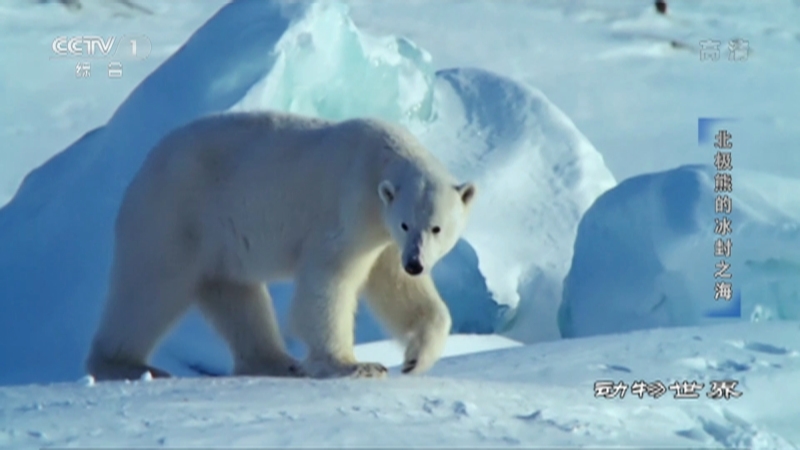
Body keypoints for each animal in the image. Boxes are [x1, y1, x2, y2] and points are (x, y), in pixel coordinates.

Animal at [86, 110, 477, 381]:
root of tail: (142, 168)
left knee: (237, 299)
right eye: (406, 223)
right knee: (147, 290)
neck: (376, 160)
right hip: (173, 218)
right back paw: (124, 365)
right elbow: (328, 280)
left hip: (216, 246)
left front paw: (415, 358)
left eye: (437, 228)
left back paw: (278, 362)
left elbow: (399, 289)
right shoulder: (350, 209)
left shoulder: (383, 237)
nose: (416, 263)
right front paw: (354, 365)